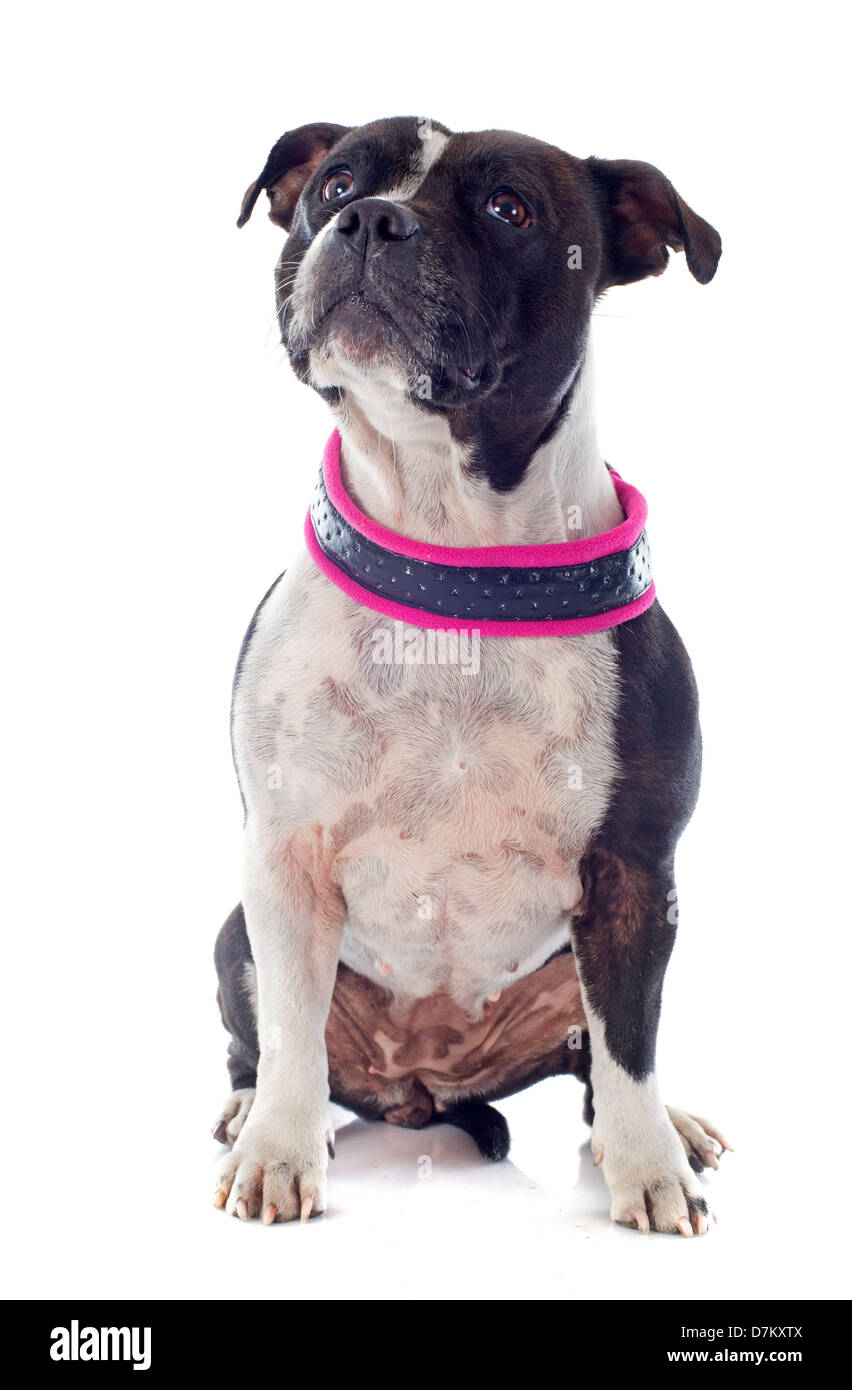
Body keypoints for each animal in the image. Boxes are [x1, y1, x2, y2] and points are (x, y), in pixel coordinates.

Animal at [211, 113, 722, 1234]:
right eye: (336, 182)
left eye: (508, 208)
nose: (370, 218)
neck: (452, 564)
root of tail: (426, 1084)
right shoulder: (284, 859)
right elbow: (290, 1036)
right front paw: (278, 1149)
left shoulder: (635, 874)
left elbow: (630, 1044)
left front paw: (648, 1167)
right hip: (235, 936)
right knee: (263, 1041)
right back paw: (246, 1113)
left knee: (603, 1053)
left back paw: (670, 1128)